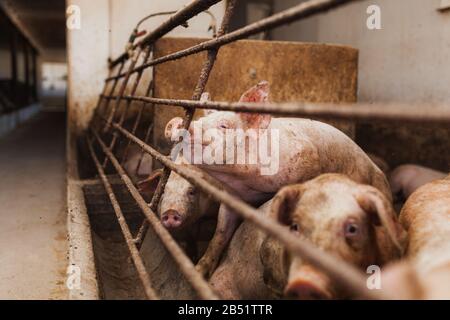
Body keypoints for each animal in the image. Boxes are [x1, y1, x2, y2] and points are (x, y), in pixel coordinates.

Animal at [166, 80, 394, 278]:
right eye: (199, 120)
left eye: (224, 126)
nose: (180, 123)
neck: (248, 185)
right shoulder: (231, 197)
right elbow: (220, 234)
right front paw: (197, 272)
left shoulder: (305, 160)